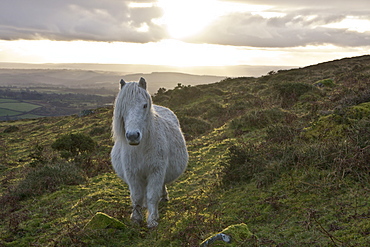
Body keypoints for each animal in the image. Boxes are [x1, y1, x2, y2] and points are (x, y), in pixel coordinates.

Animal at [110, 77, 188, 228]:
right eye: (123, 107)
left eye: (145, 105)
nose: (133, 136)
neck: (140, 149)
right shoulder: (133, 174)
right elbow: (137, 197)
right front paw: (136, 218)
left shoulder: (156, 171)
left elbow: (152, 195)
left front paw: (152, 220)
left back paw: (163, 197)